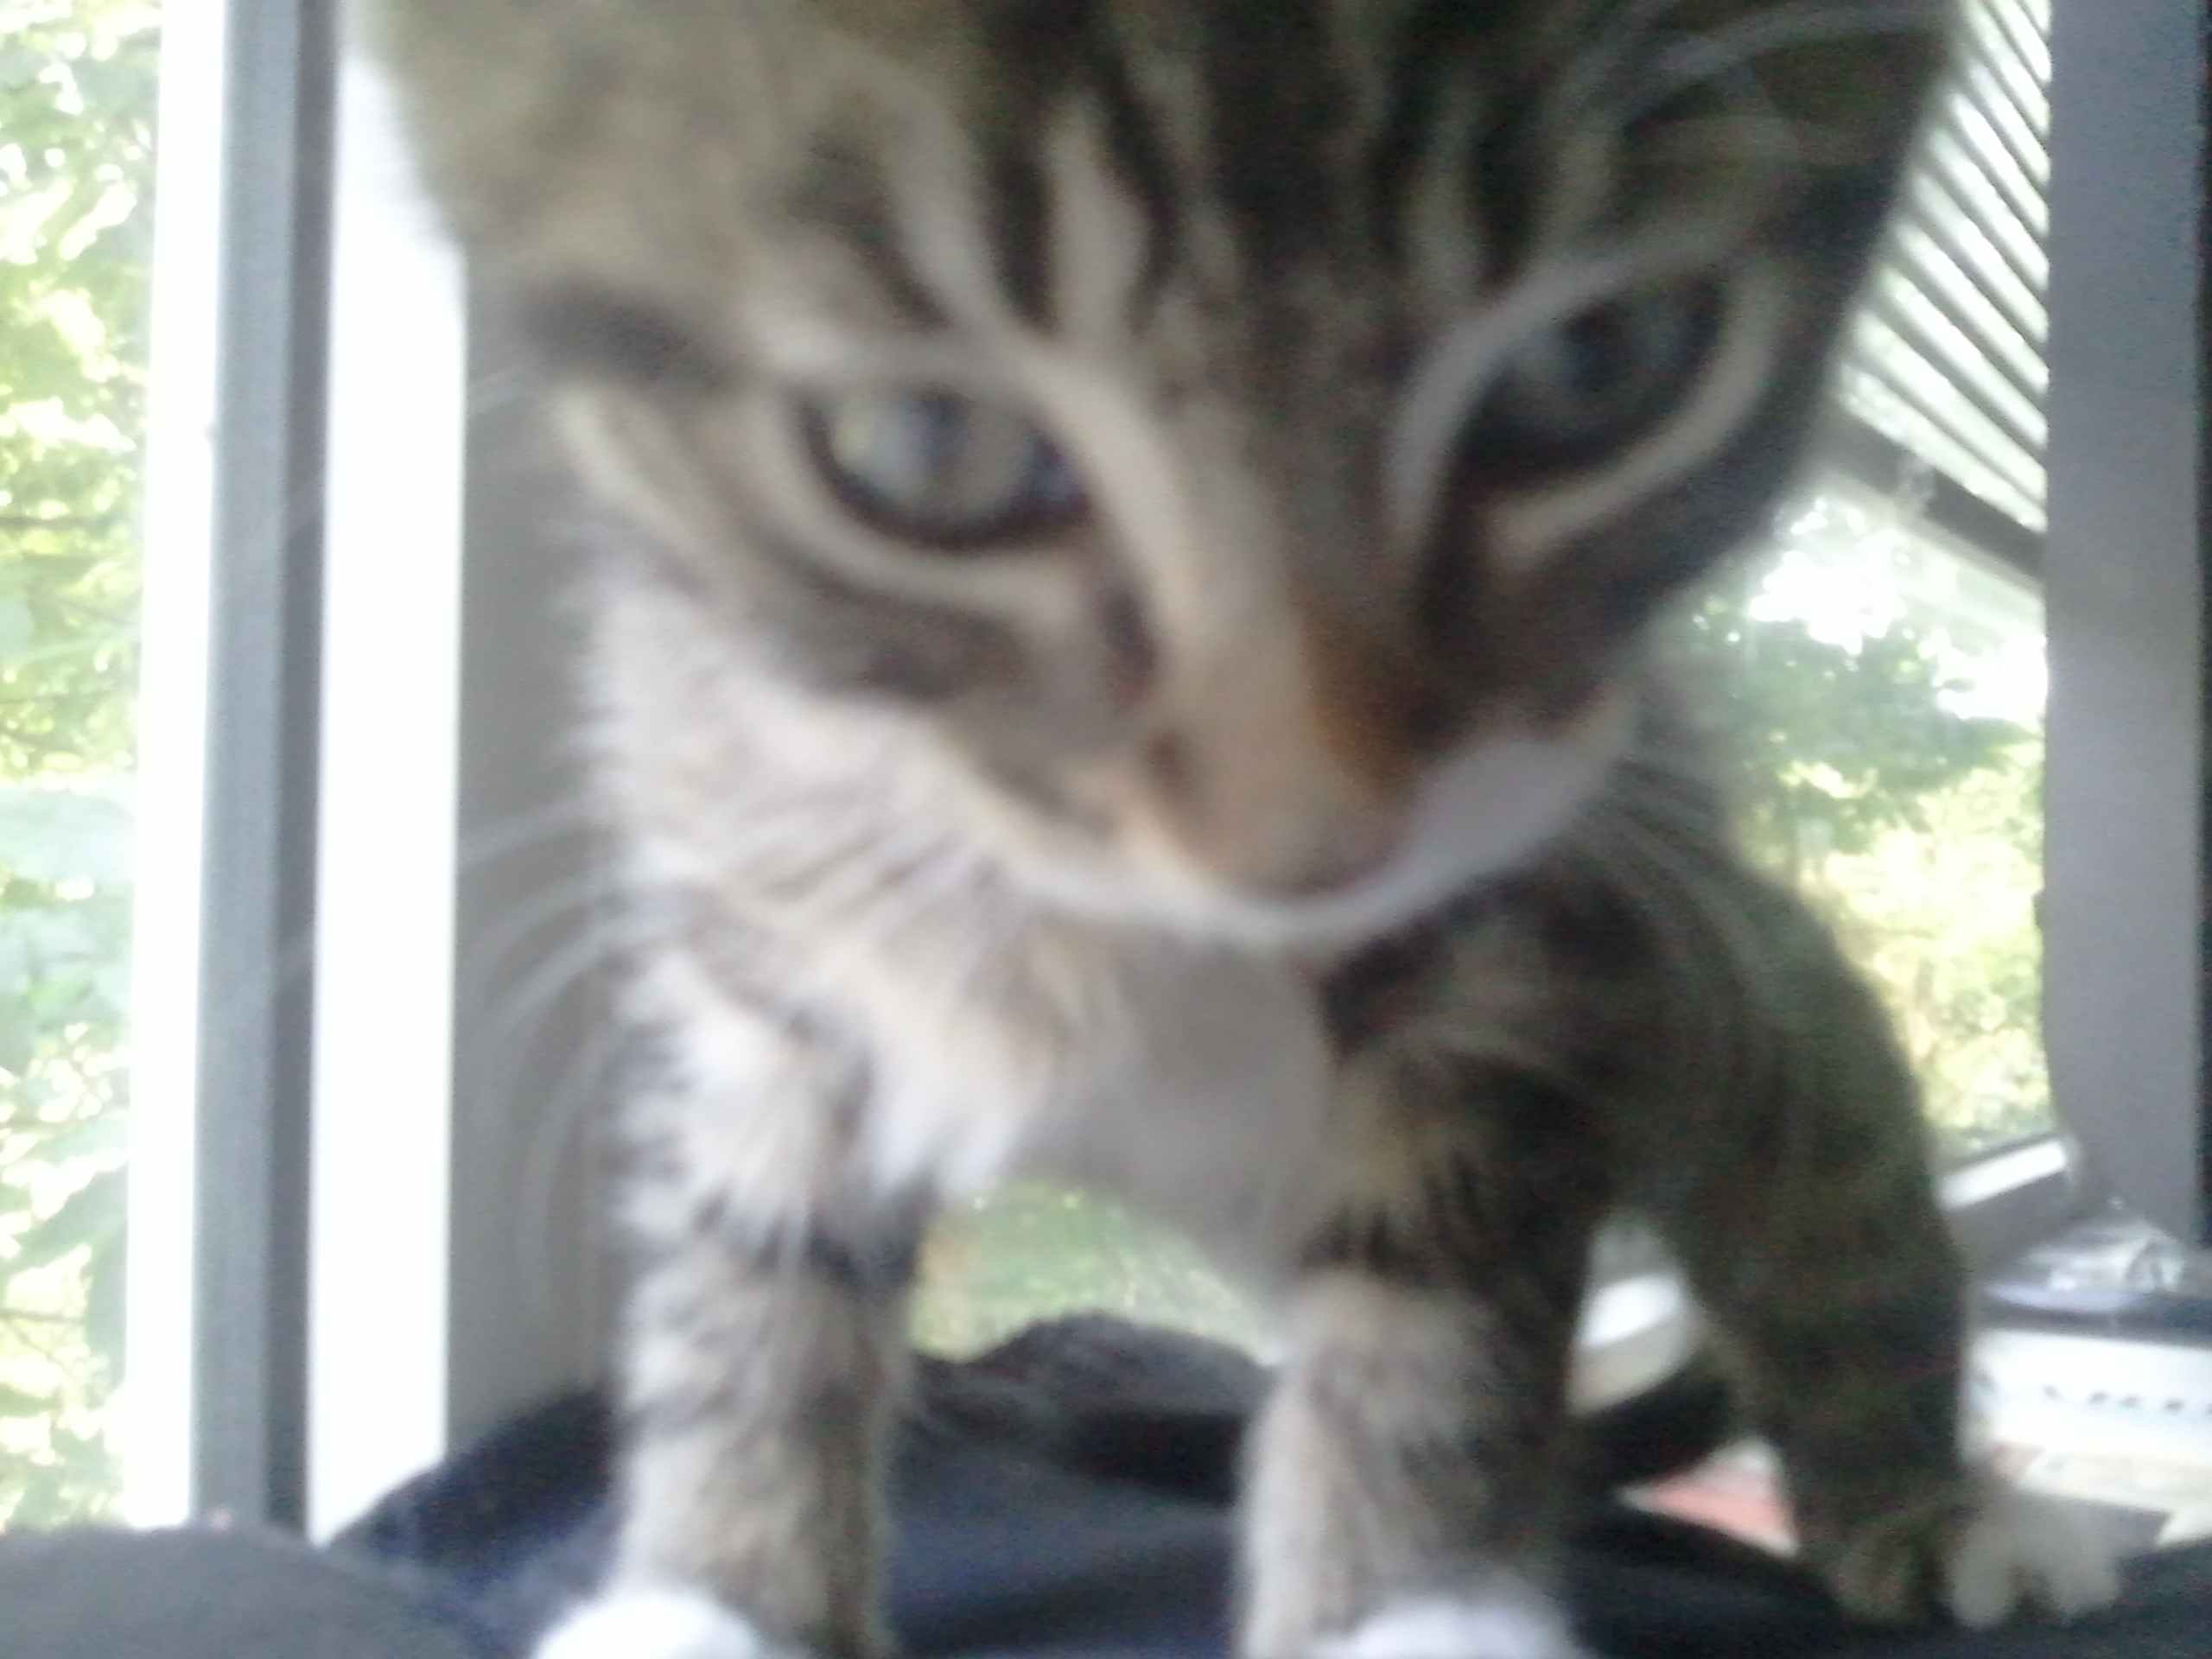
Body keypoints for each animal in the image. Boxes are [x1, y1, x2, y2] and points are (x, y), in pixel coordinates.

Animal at [371, 3, 2118, 1656]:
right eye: (927, 442)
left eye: (1596, 363)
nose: (1313, 828)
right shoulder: (745, 902)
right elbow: (749, 1257)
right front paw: (724, 1584)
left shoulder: (1529, 939)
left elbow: (1437, 1286)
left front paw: (1403, 1603)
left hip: (1724, 978)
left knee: (1835, 1192)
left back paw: (1927, 1502)